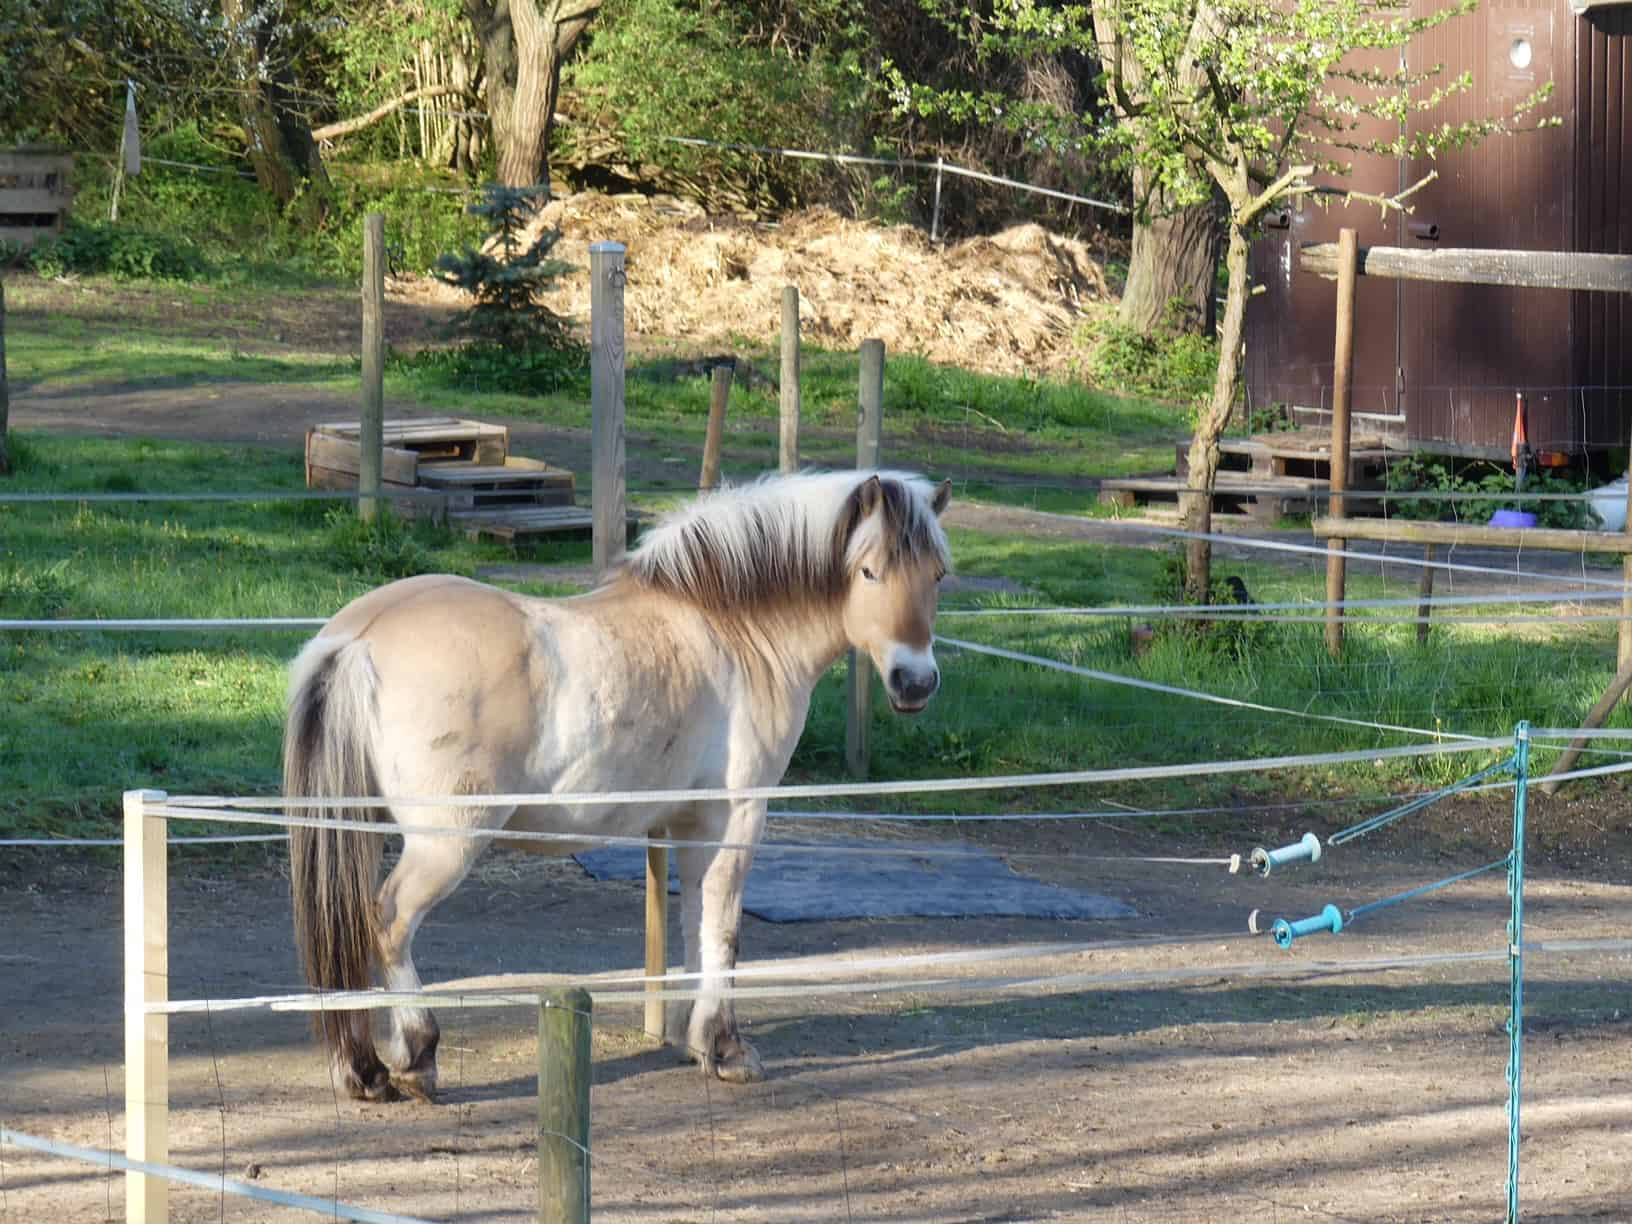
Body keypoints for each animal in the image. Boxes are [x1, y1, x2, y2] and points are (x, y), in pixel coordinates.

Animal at [277, 466, 946, 1103]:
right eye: (868, 571)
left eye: (937, 575)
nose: (915, 683)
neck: (732, 628)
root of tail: (359, 637)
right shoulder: (736, 816)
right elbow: (724, 928)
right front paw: (727, 1049)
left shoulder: (687, 822)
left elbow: (694, 921)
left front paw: (694, 1041)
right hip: (448, 842)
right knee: (389, 920)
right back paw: (416, 1055)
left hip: (355, 828)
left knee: (352, 923)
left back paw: (365, 1069)